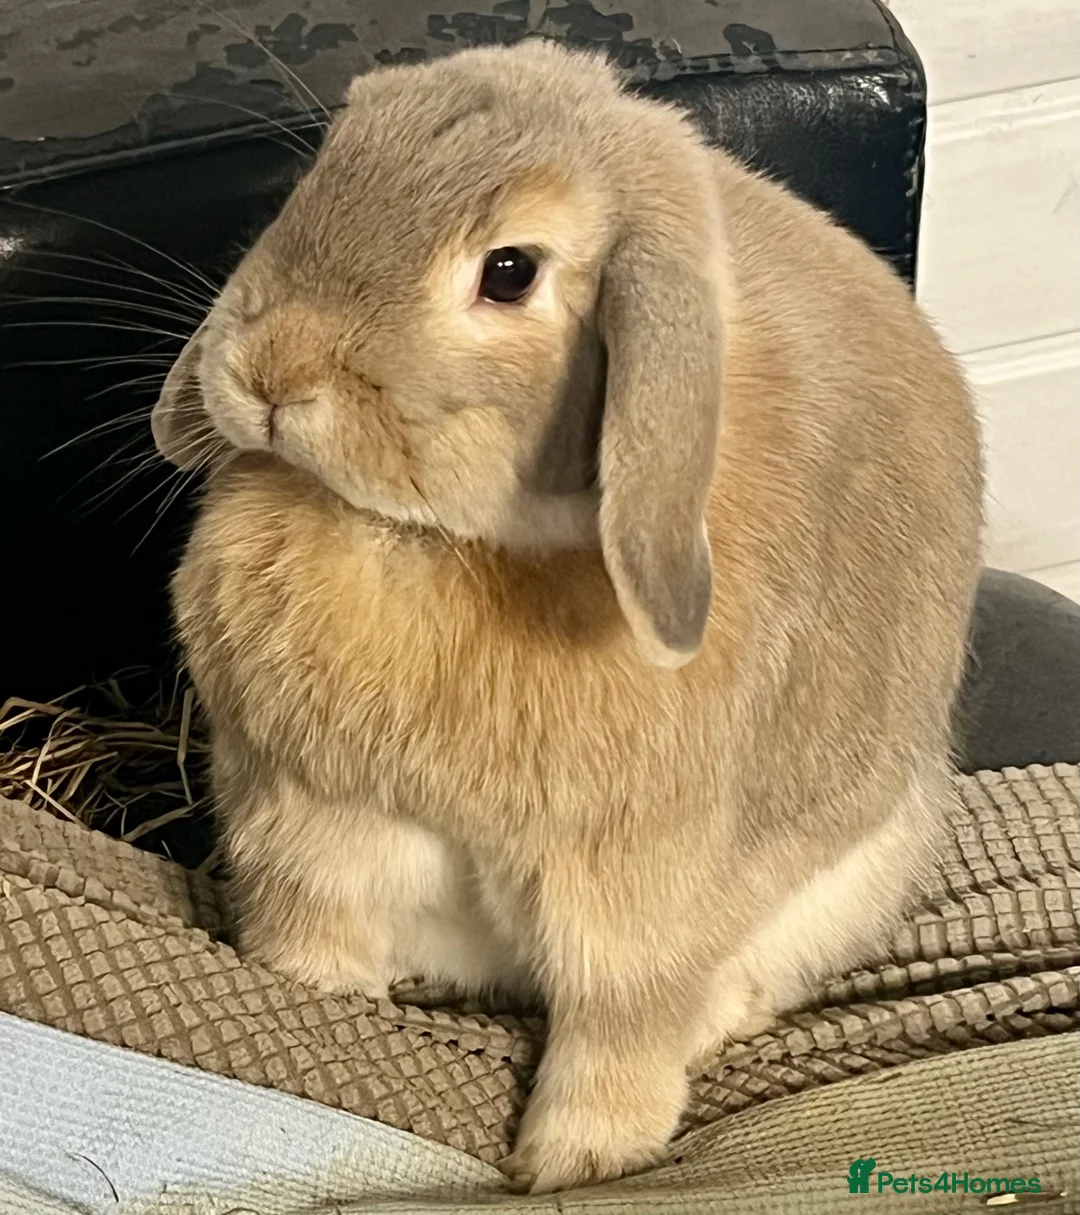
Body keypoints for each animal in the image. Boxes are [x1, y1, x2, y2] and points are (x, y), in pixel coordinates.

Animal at [151, 39, 983, 1194]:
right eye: (327, 167)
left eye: (510, 271)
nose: (272, 371)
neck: (445, 542)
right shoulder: (306, 830)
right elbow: (310, 949)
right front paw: (321, 1006)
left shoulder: (638, 900)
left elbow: (618, 1028)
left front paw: (576, 1160)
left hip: (858, 867)